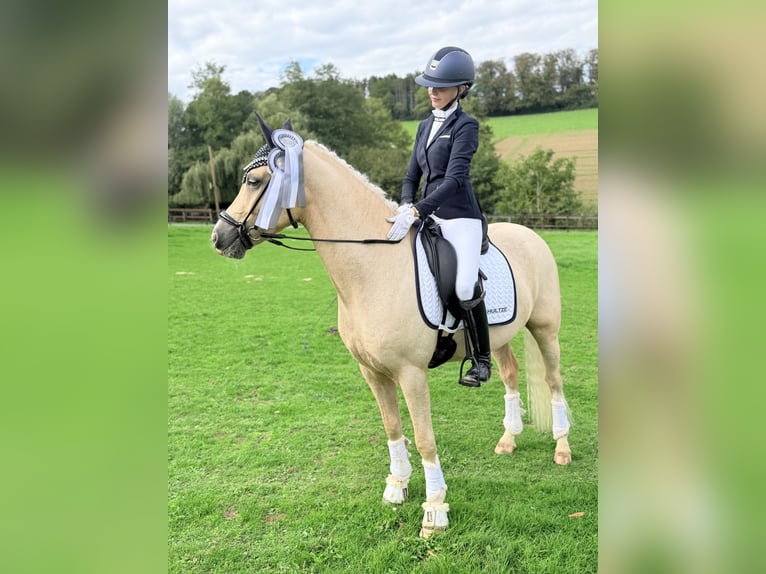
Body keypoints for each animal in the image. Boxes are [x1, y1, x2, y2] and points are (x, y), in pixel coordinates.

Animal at [211, 116, 572, 538]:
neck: (373, 266)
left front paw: (435, 510)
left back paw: (562, 448)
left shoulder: (411, 373)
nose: (219, 237)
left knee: (554, 381)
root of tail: (531, 234)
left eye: (254, 181)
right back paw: (508, 440)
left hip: (545, 329)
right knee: (510, 374)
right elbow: (392, 427)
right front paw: (397, 487)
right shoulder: (372, 371)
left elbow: (424, 438)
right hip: (499, 337)